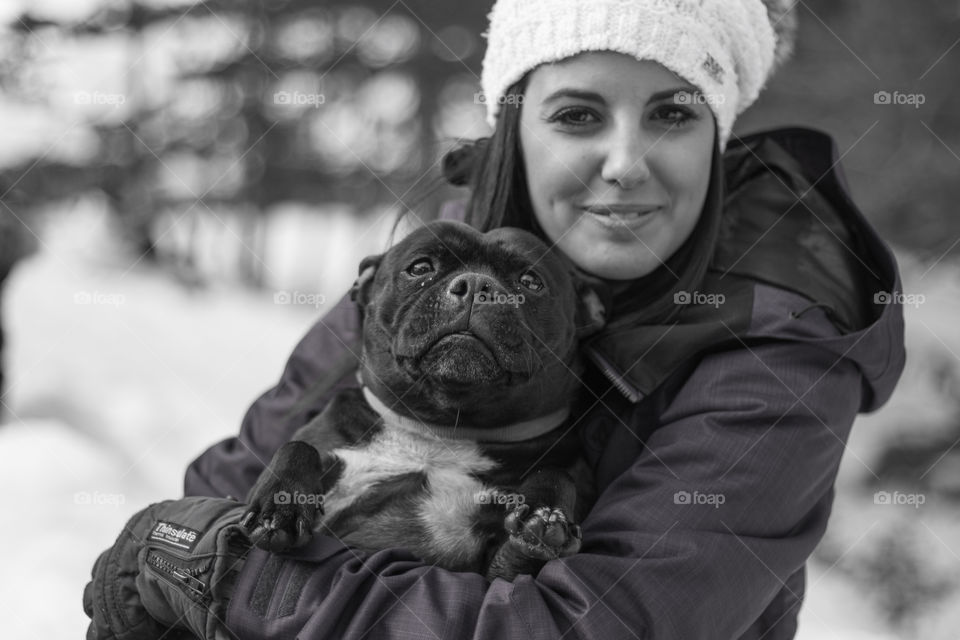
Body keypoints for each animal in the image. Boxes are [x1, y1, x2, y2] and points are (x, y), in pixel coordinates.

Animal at [242, 220, 600, 580]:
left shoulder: (499, 567)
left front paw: (545, 514)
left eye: (531, 281)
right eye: (420, 268)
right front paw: (280, 505)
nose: (476, 284)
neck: (440, 432)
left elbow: (556, 477)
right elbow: (298, 447)